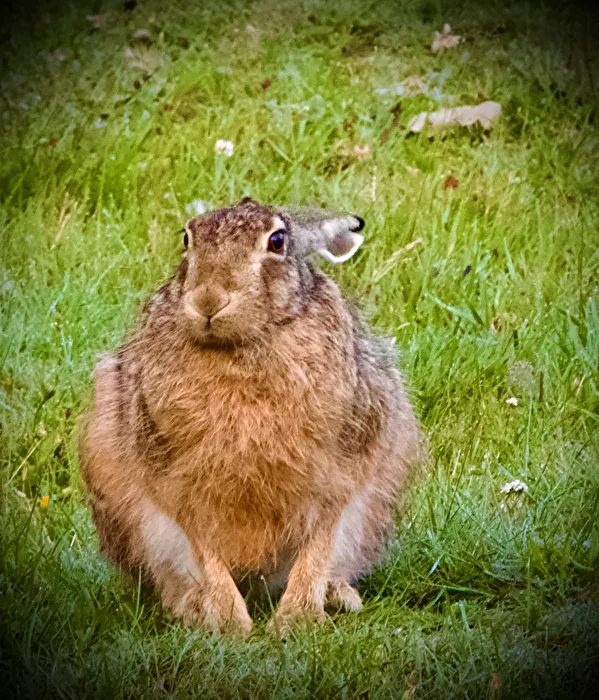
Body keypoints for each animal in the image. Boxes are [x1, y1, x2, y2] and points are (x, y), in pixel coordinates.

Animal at [79, 197, 422, 635]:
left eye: (277, 241)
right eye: (188, 238)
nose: (208, 300)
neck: (240, 345)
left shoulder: (339, 474)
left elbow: (318, 542)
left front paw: (296, 620)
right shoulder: (179, 482)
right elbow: (205, 549)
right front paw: (231, 624)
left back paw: (338, 596)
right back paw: (194, 606)